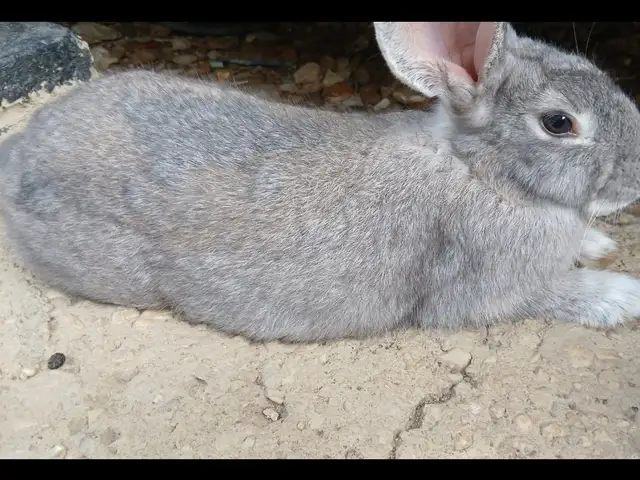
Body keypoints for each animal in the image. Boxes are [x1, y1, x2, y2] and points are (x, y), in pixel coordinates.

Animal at [1, 21, 640, 343]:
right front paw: (622, 295)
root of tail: (21, 156)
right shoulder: (489, 289)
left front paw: (598, 244)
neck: (477, 168)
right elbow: (554, 293)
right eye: (558, 123)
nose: (636, 176)